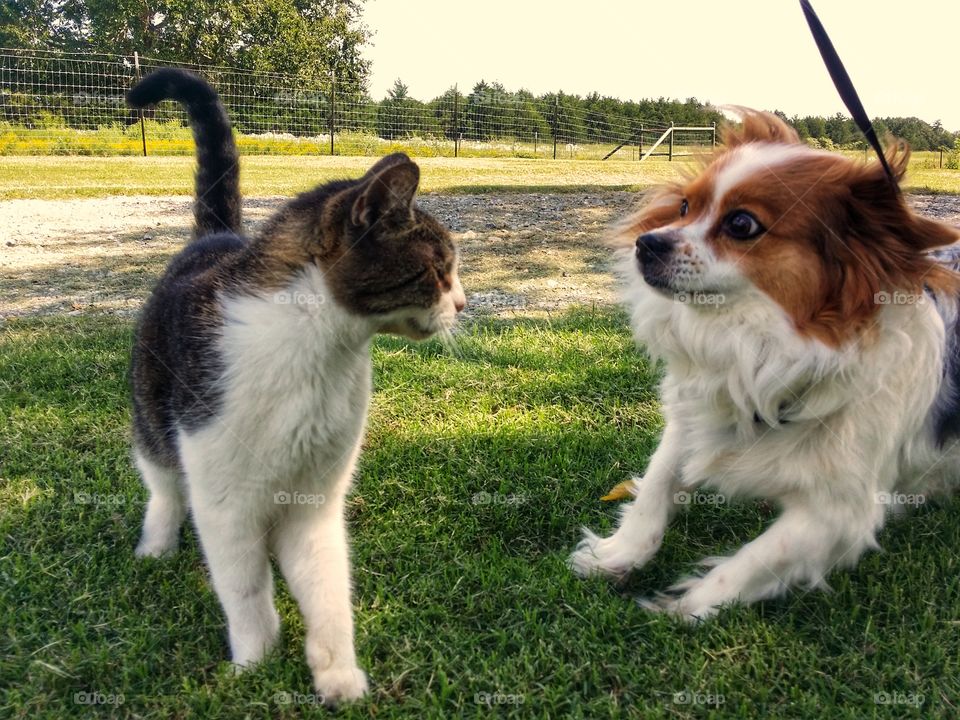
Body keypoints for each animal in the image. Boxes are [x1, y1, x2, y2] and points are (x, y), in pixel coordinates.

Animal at [568, 111, 960, 620]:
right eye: (684, 207)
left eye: (740, 224)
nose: (645, 243)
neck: (753, 341)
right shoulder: (694, 418)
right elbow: (656, 486)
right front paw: (620, 554)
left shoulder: (840, 512)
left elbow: (753, 561)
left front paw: (686, 606)